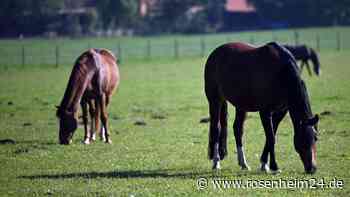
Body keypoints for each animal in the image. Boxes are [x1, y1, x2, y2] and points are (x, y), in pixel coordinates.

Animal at [205, 42, 320, 174]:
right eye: (303, 140)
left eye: (315, 138)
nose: (312, 168)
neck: (281, 72)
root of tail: (215, 53)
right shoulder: (265, 112)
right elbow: (271, 138)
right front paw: (274, 166)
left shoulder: (281, 111)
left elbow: (271, 136)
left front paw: (264, 163)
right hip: (215, 100)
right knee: (216, 129)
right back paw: (216, 162)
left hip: (241, 105)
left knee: (237, 129)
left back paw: (243, 163)